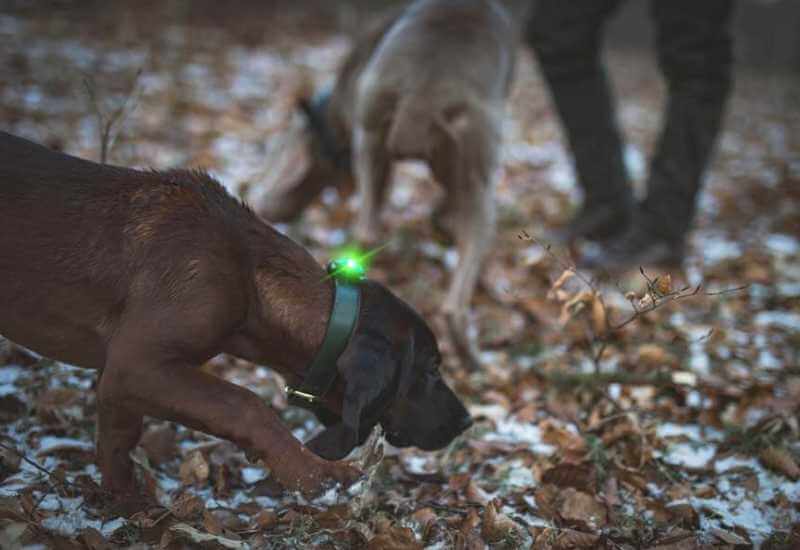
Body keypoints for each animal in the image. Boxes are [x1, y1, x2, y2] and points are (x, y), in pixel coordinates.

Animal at [0, 131, 472, 499]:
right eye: (431, 369)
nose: (467, 421)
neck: (249, 277)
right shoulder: (136, 365)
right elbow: (246, 404)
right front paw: (313, 473)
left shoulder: (119, 381)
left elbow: (117, 444)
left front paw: (125, 506)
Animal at [260, 0, 528, 368]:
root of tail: (423, 94)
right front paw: (441, 222)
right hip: (478, 176)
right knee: (457, 294)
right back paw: (476, 361)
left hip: (372, 138)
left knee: (367, 233)